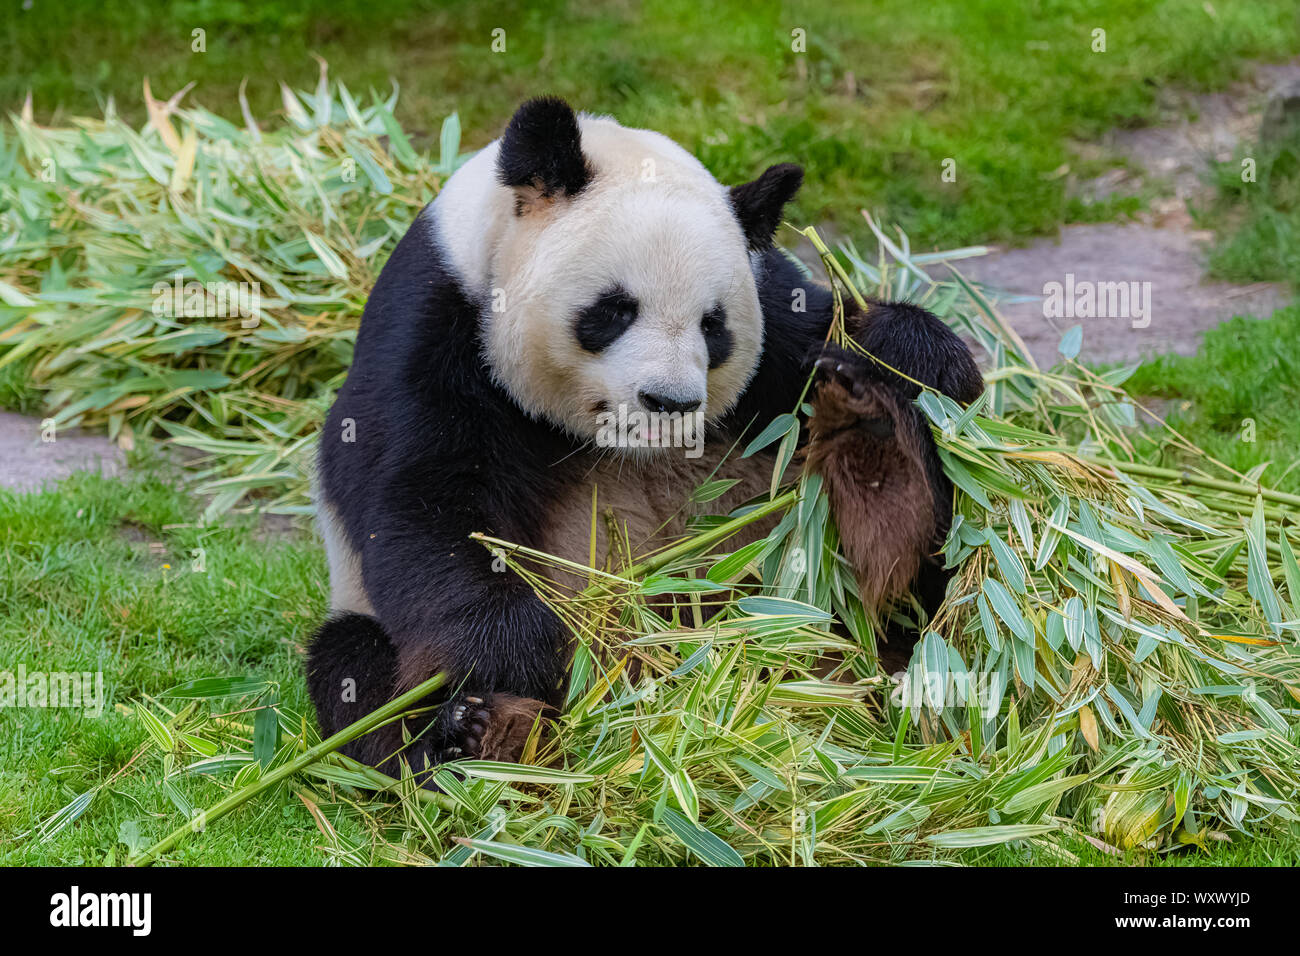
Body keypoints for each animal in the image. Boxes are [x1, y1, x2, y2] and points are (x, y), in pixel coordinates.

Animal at [306, 97, 982, 780]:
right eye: (613, 310)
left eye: (714, 326)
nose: (670, 402)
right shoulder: (432, 329)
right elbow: (420, 502)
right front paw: (517, 657)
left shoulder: (778, 318)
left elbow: (848, 335)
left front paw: (907, 350)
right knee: (353, 669)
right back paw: (477, 732)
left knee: (910, 579)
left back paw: (872, 440)